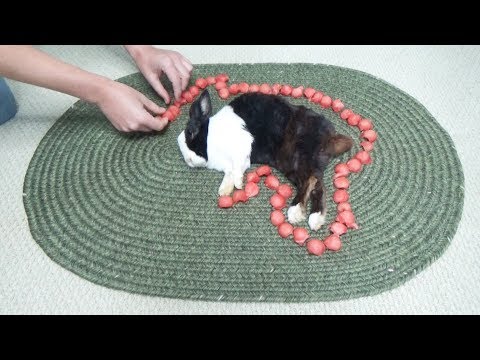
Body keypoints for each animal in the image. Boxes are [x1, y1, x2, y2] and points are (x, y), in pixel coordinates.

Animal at [177, 89, 352, 231]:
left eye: (191, 132)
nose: (188, 160)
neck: (210, 138)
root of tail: (330, 138)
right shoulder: (237, 161)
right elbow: (230, 172)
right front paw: (225, 190)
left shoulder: (242, 146)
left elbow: (235, 168)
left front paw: (238, 184)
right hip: (291, 163)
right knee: (317, 185)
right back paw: (315, 218)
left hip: (298, 155)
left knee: (310, 180)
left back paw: (295, 211)